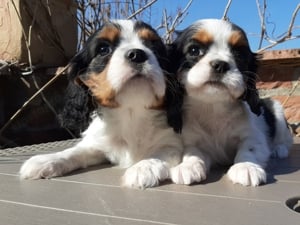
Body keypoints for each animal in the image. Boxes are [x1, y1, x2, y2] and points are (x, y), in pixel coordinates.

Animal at [19, 19, 184, 189]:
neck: (131, 112)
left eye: (155, 48)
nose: (137, 54)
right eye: (103, 49)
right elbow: (76, 151)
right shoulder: (97, 143)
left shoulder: (172, 143)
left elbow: (161, 152)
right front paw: (46, 160)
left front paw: (143, 168)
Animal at [169, 18, 292, 186]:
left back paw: (278, 149)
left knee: (284, 140)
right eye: (194, 50)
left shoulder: (254, 136)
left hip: (277, 110)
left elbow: (248, 148)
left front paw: (246, 167)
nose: (220, 64)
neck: (214, 106)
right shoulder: (194, 142)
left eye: (239, 54)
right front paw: (188, 166)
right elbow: (193, 152)